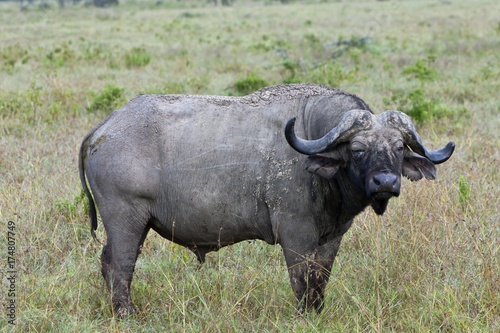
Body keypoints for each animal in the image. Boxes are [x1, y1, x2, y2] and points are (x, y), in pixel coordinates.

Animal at [77, 81, 454, 316]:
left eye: (398, 148)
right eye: (358, 149)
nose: (386, 182)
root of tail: (106, 126)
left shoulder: (332, 237)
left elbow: (320, 279)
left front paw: (317, 312)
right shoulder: (296, 235)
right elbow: (301, 280)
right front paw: (304, 315)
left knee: (107, 262)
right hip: (126, 221)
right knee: (121, 266)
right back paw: (126, 312)